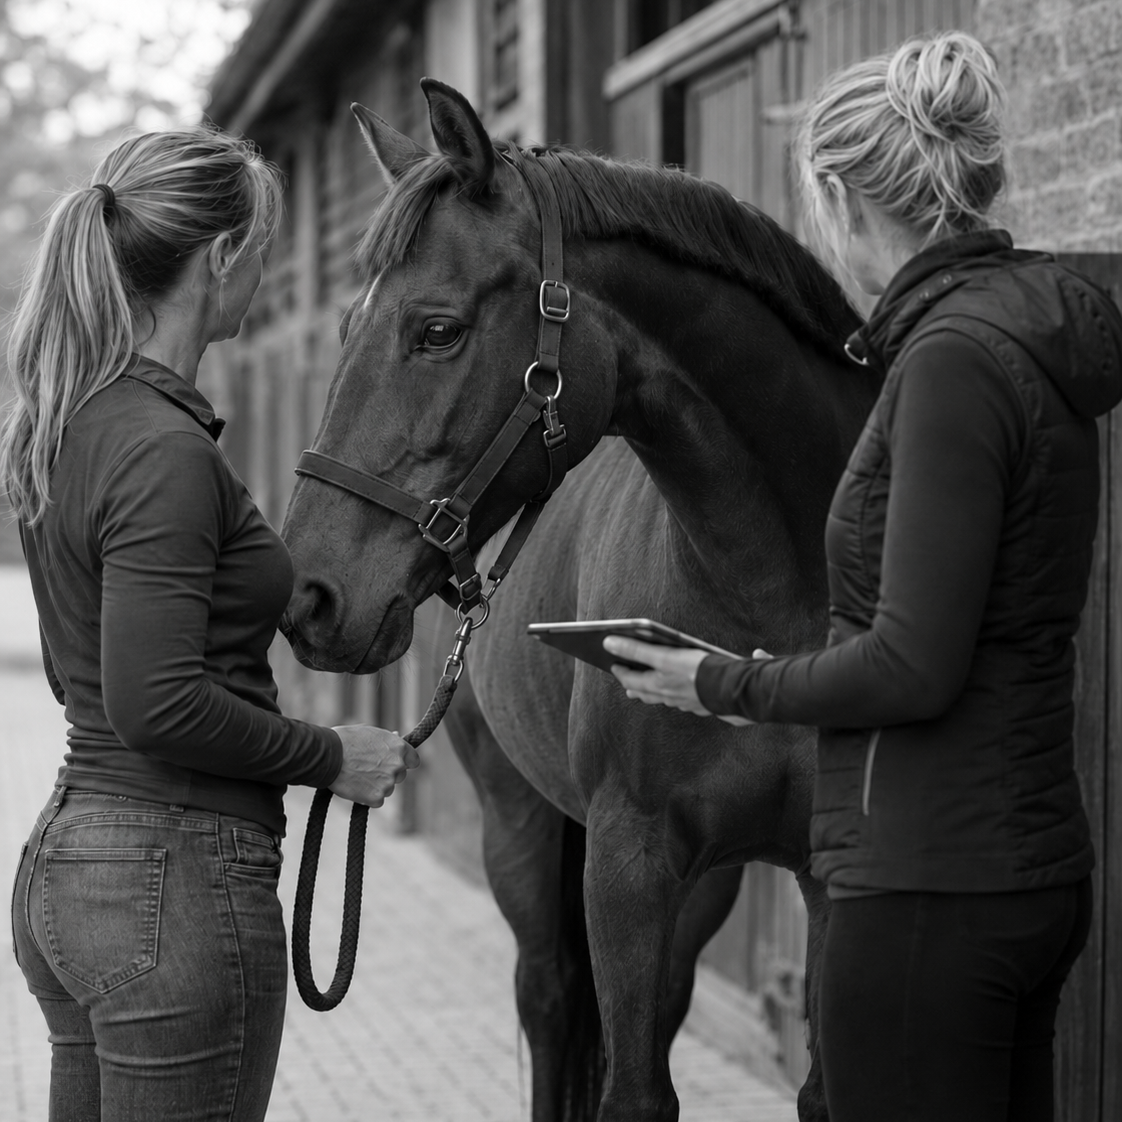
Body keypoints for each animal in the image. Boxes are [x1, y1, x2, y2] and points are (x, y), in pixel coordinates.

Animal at [280, 79, 881, 1122]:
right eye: (349, 330)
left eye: (437, 330)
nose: (312, 593)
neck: (776, 602)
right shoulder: (626, 862)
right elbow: (627, 1091)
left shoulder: (817, 873)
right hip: (521, 830)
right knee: (551, 1000)